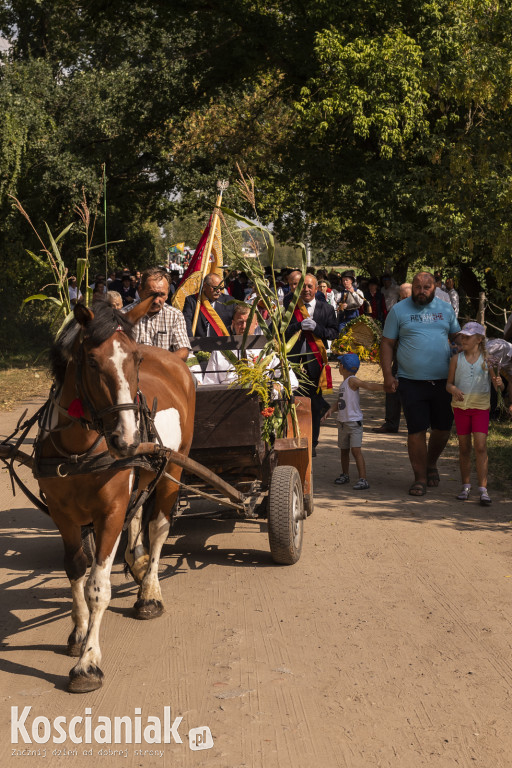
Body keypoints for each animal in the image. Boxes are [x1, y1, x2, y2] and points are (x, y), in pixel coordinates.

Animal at [38, 296, 196, 692]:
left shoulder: (108, 512)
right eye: (93, 362)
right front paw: (79, 632)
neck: (79, 450)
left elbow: (98, 586)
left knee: (158, 527)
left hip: (173, 469)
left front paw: (88, 662)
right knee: (139, 512)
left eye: (135, 361)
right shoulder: (62, 514)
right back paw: (138, 561)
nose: (127, 437)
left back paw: (150, 592)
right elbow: (76, 568)